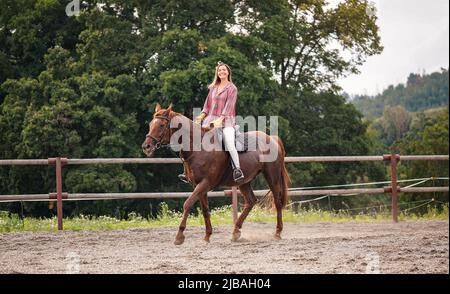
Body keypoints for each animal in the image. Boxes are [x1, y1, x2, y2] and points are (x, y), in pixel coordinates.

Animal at [142, 104, 292, 246]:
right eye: (150, 124)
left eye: (161, 125)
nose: (146, 146)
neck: (198, 148)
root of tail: (272, 138)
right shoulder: (198, 185)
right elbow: (205, 210)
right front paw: (207, 236)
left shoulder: (205, 183)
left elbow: (187, 204)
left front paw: (179, 236)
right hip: (243, 182)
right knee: (251, 201)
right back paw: (235, 232)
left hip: (272, 177)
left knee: (277, 202)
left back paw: (277, 233)